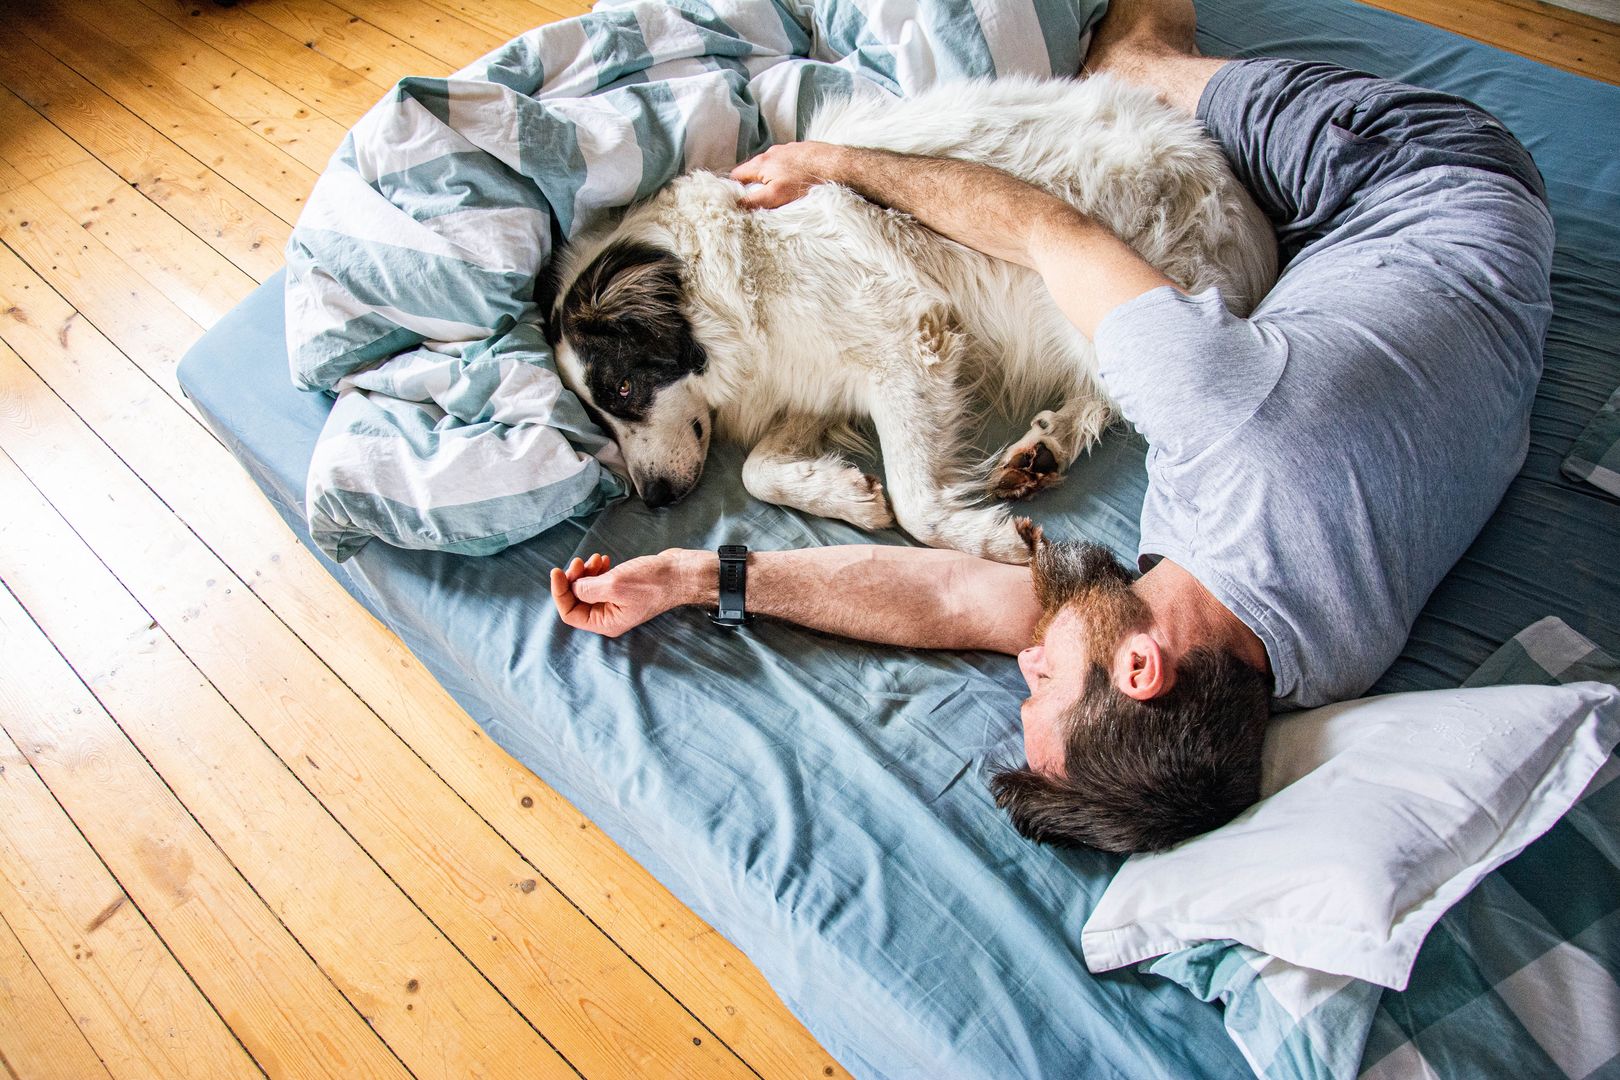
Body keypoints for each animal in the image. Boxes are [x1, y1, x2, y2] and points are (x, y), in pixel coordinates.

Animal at [544, 74, 1276, 566]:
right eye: (598, 418)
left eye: (625, 389)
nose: (653, 499)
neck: (726, 279)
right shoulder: (814, 378)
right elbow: (758, 470)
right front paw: (845, 493)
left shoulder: (912, 346)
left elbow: (916, 505)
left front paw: (987, 540)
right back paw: (1042, 450)